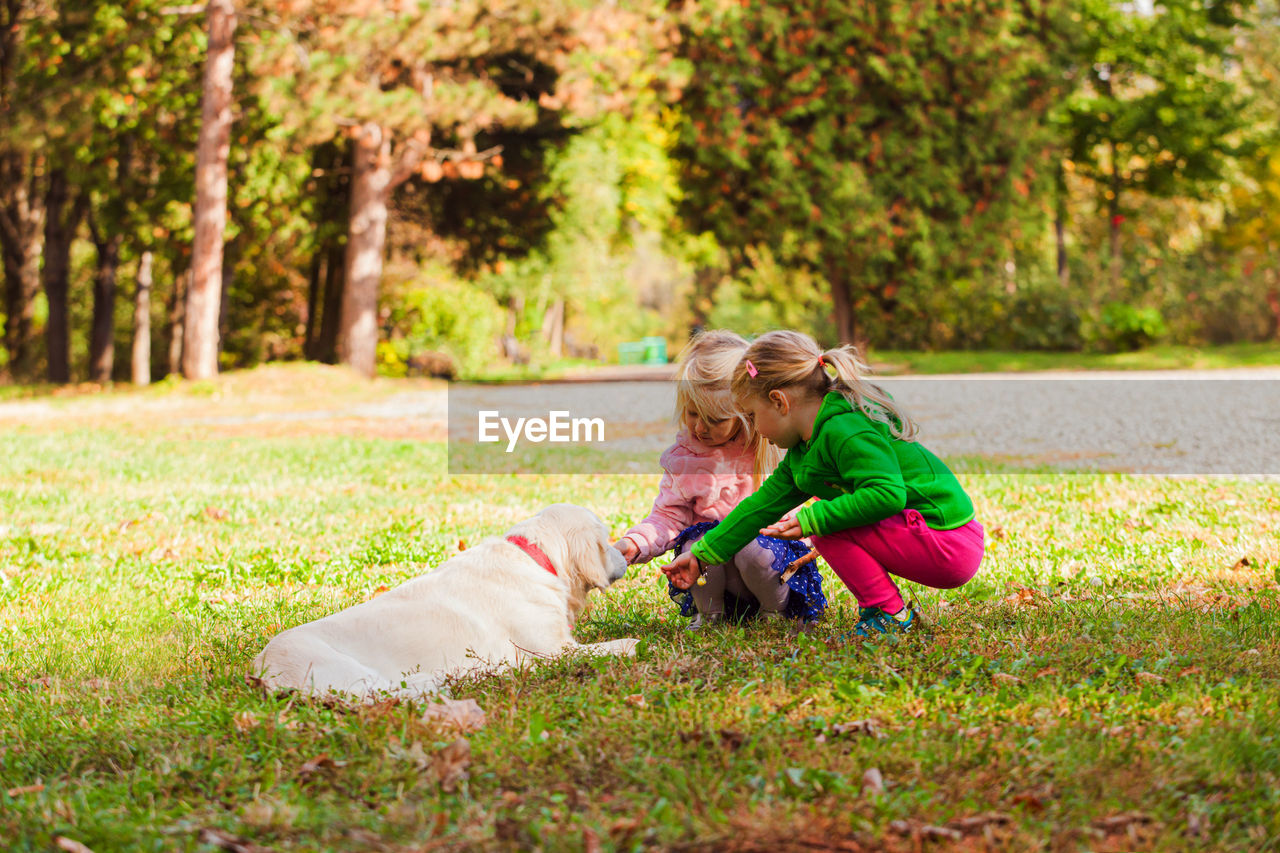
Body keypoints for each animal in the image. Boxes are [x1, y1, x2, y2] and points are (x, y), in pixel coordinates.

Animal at [247, 502, 637, 696]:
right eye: (604, 540)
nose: (625, 553)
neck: (534, 555)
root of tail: (260, 669)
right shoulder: (552, 650)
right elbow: (617, 647)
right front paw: (632, 643)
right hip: (344, 673)